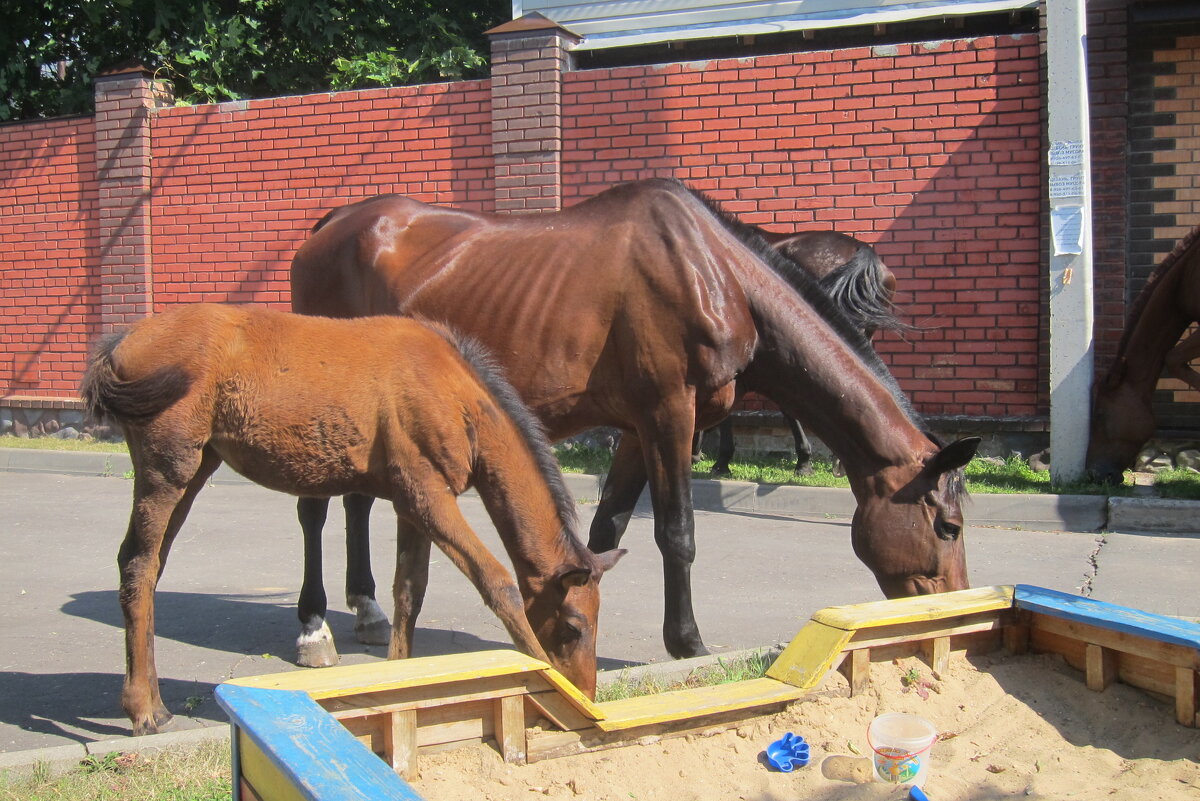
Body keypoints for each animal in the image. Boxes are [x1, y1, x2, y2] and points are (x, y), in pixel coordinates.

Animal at [79, 303, 624, 733]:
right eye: (573, 626)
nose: (588, 693)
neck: (456, 393)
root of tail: (121, 345)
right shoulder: (427, 494)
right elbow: (497, 583)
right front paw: (546, 682)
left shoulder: (412, 499)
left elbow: (409, 592)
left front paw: (399, 680)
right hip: (168, 465)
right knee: (138, 563)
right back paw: (142, 708)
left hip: (196, 465)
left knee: (147, 566)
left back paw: (150, 699)